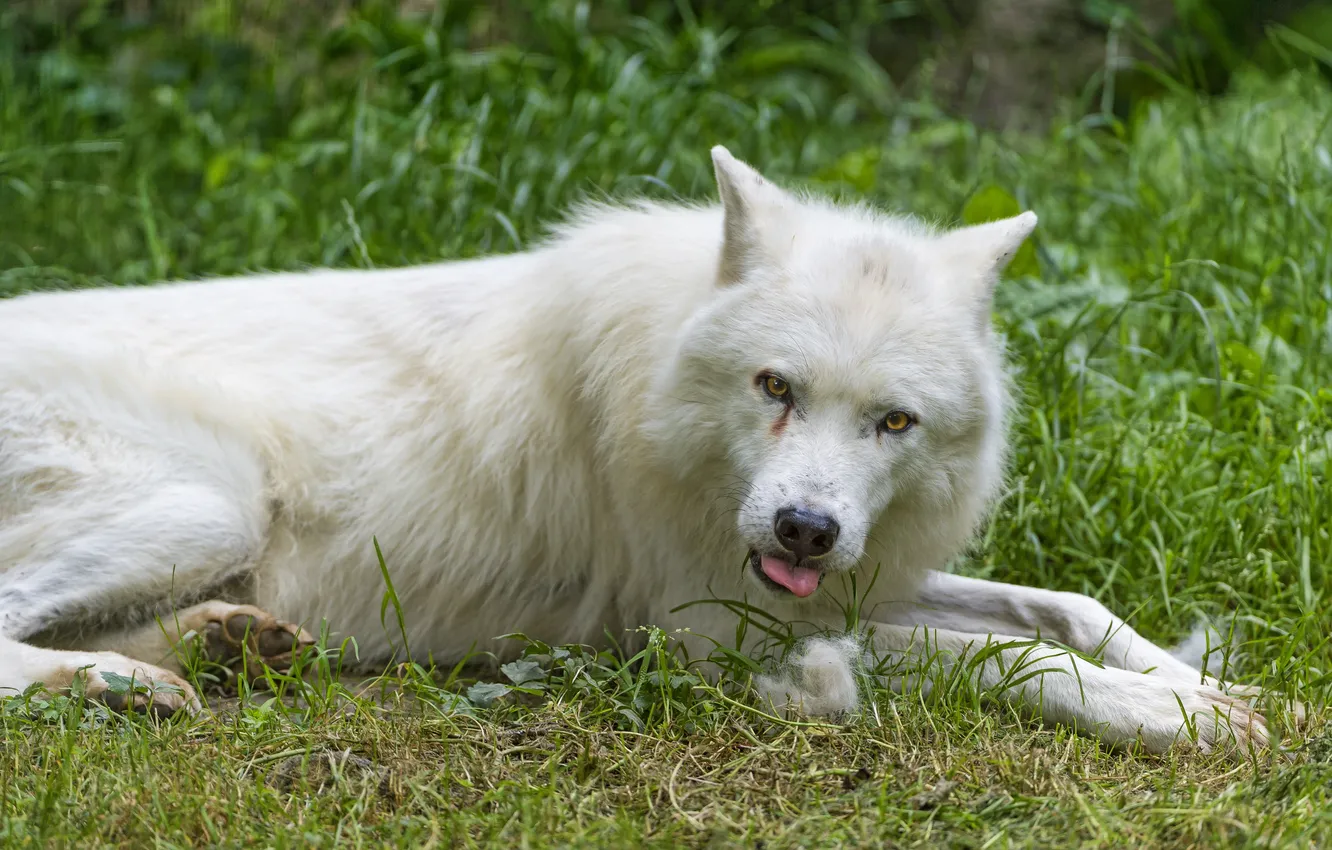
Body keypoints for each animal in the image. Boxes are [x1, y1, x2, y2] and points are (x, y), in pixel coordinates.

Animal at [0, 146, 1284, 754]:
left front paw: (1215, 686)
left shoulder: (853, 576)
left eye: (894, 422)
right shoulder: (711, 628)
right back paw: (118, 683)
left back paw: (214, 651)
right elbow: (1004, 658)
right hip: (207, 501)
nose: (805, 526)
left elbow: (1063, 606)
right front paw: (1176, 718)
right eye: (776, 388)